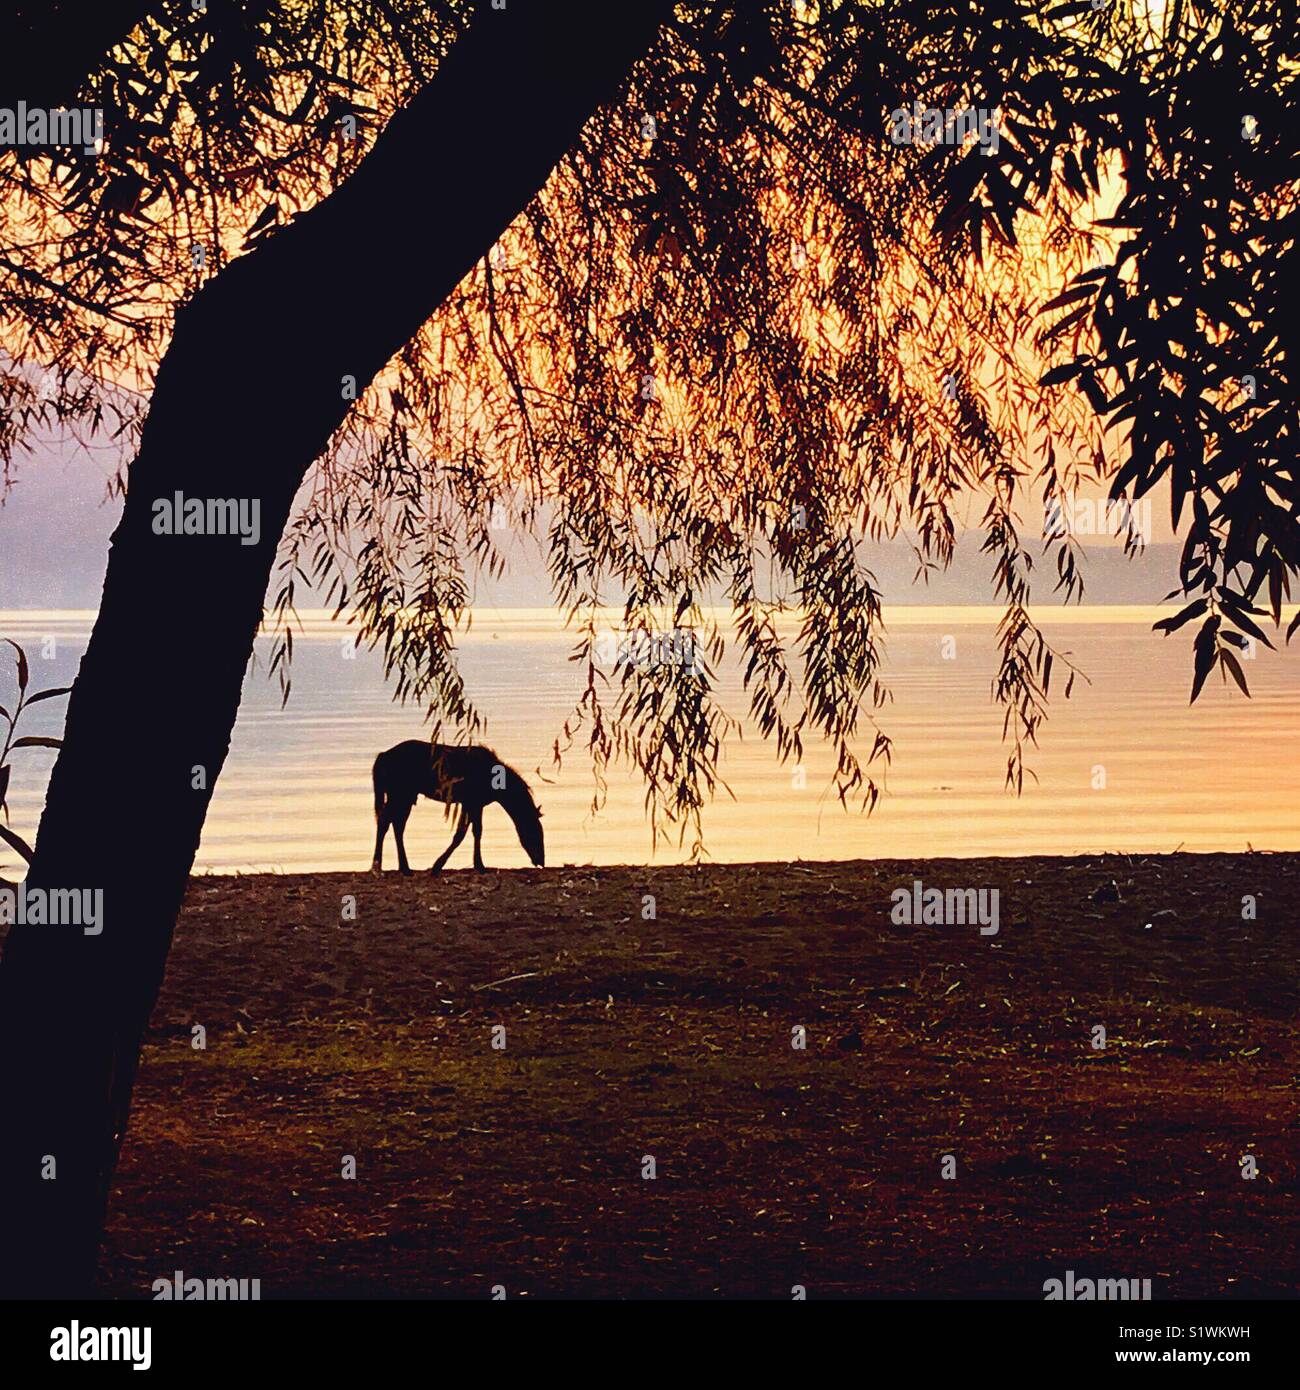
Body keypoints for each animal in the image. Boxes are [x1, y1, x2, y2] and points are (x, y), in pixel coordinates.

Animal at [369, 745, 545, 872]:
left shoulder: (474, 804)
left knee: (397, 826)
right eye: (535, 832)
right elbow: (462, 833)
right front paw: (438, 865)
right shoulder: (471, 803)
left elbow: (475, 831)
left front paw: (478, 864)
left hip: (405, 798)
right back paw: (378, 866)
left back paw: (404, 867)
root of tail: (383, 755)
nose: (541, 861)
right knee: (385, 822)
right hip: (399, 795)